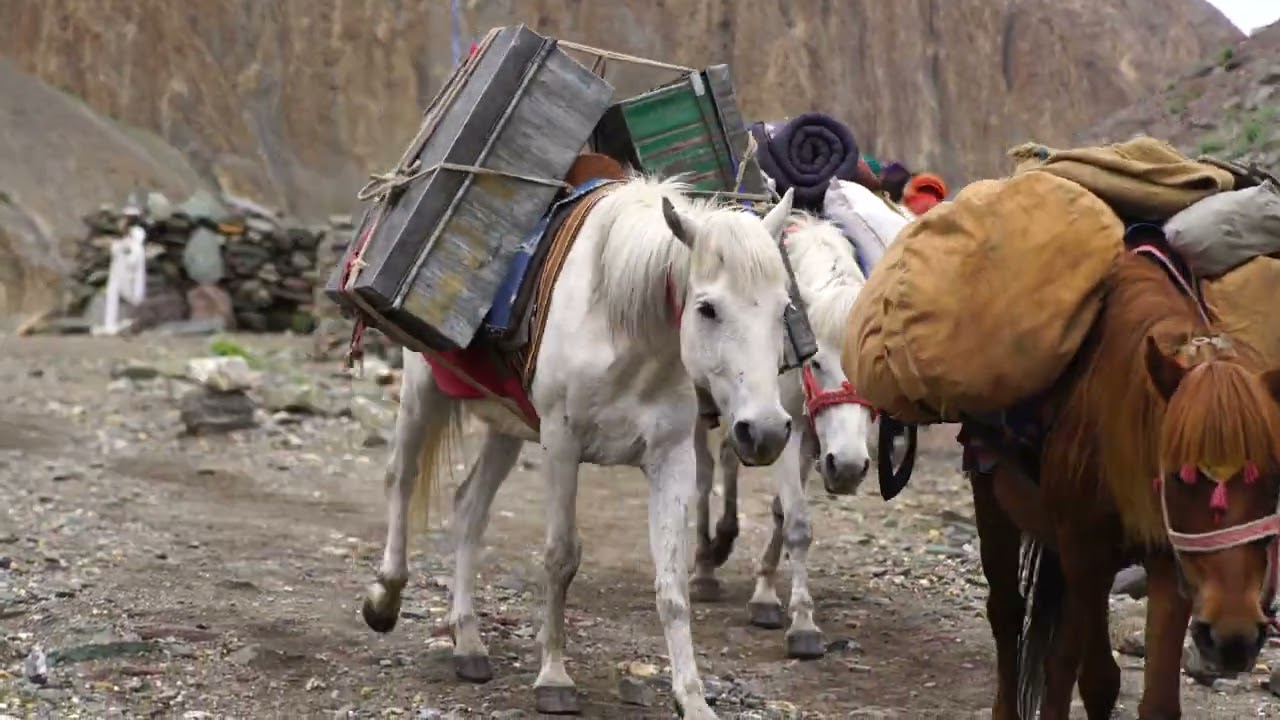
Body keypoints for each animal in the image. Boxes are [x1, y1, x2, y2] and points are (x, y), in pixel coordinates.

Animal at [360, 175, 800, 719]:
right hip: (423, 390)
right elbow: (560, 556)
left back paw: (469, 643)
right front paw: (553, 676)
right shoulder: (561, 444)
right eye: (707, 309)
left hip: (507, 427)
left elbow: (672, 583)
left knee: (468, 508)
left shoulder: (671, 456)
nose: (766, 431)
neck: (625, 330)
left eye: (784, 309)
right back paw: (385, 598)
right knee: (401, 478)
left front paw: (692, 697)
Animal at [687, 211, 882, 659]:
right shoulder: (787, 433)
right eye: (817, 363)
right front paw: (802, 624)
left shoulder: (804, 437)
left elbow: (780, 511)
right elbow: (796, 520)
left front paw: (765, 593)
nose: (849, 468)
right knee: (703, 476)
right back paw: (705, 566)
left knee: (729, 458)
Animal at [968, 248, 1280, 720]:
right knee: (1006, 614)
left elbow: (1158, 700)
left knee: (1058, 657)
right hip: (994, 499)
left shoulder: (1171, 560)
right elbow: (1099, 680)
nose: (1233, 638)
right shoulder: (1086, 554)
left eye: (1275, 477)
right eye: (1180, 475)